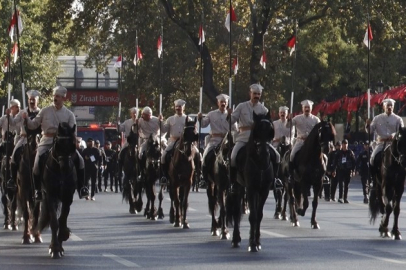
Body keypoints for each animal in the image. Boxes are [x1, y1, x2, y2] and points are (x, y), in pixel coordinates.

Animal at [35, 122, 78, 258]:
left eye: (73, 144)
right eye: (58, 144)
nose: (65, 167)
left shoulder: (68, 197)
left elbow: (62, 219)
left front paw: (63, 236)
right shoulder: (50, 195)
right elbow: (54, 221)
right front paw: (55, 248)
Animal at [227, 111, 278, 251]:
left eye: (269, 129)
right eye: (257, 129)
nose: (265, 153)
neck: (260, 162)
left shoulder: (264, 190)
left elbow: (259, 215)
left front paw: (257, 241)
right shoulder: (251, 189)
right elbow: (253, 216)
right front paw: (252, 243)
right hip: (239, 187)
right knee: (236, 212)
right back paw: (236, 239)